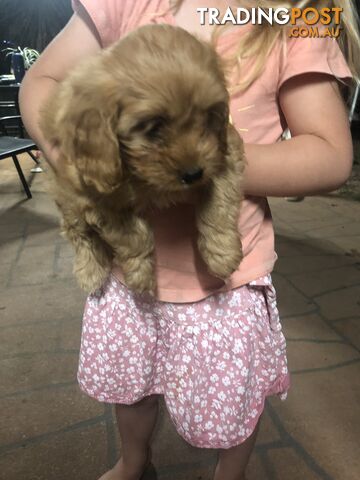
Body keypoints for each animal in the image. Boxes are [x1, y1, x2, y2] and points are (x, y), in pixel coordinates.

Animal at [40, 24, 246, 294]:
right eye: (154, 128)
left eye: (208, 116)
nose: (193, 174)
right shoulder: (92, 195)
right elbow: (133, 236)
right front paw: (140, 275)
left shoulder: (224, 153)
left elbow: (219, 203)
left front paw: (222, 254)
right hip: (65, 196)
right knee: (78, 232)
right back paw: (91, 271)